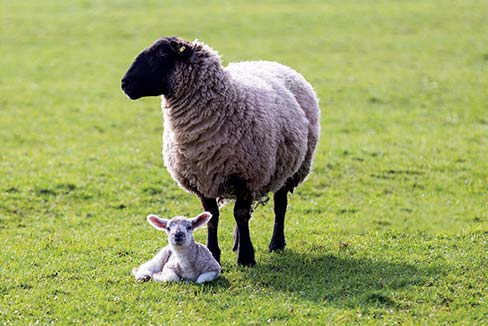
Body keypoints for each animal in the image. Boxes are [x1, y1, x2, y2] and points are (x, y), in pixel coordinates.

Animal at [121, 35, 320, 266]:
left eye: (162, 53)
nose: (124, 84)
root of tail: (269, 62)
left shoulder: (246, 176)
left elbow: (240, 214)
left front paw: (246, 257)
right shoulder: (202, 178)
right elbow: (211, 216)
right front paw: (214, 252)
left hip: (292, 168)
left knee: (280, 205)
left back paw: (276, 243)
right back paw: (238, 243)